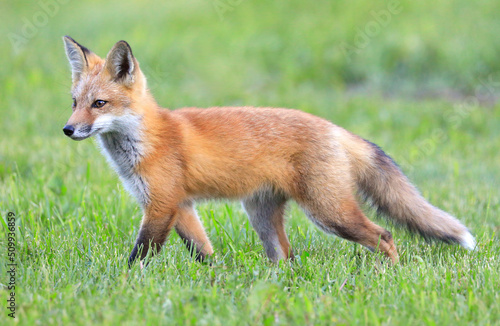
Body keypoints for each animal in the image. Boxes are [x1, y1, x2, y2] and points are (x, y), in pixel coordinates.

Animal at [60, 36, 474, 264]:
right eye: (74, 102)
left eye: (99, 104)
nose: (68, 129)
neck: (147, 140)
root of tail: (334, 128)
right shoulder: (180, 205)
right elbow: (204, 253)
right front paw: (216, 283)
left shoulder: (161, 205)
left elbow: (139, 257)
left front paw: (125, 285)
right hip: (262, 214)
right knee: (286, 257)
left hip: (329, 212)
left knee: (384, 236)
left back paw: (389, 273)